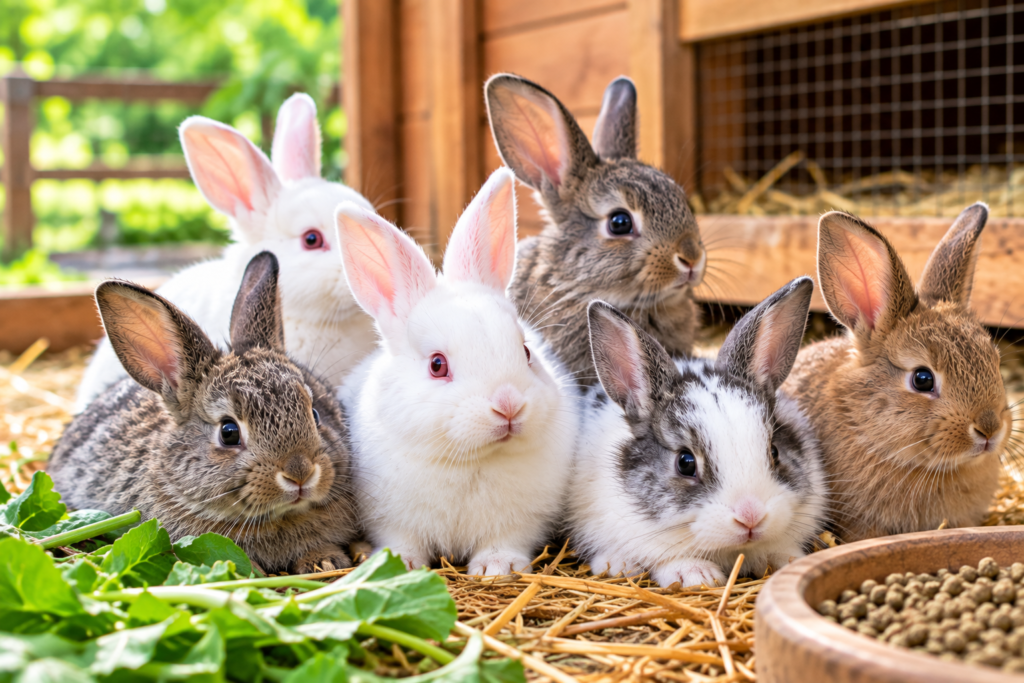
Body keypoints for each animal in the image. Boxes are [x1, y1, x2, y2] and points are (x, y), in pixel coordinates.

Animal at [335, 168, 579, 576]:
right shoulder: (390, 520)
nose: (508, 405)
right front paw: (400, 564)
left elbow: (505, 542)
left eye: (526, 350)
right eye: (437, 365)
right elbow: (402, 540)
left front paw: (498, 567)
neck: (471, 459)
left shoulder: (519, 524)